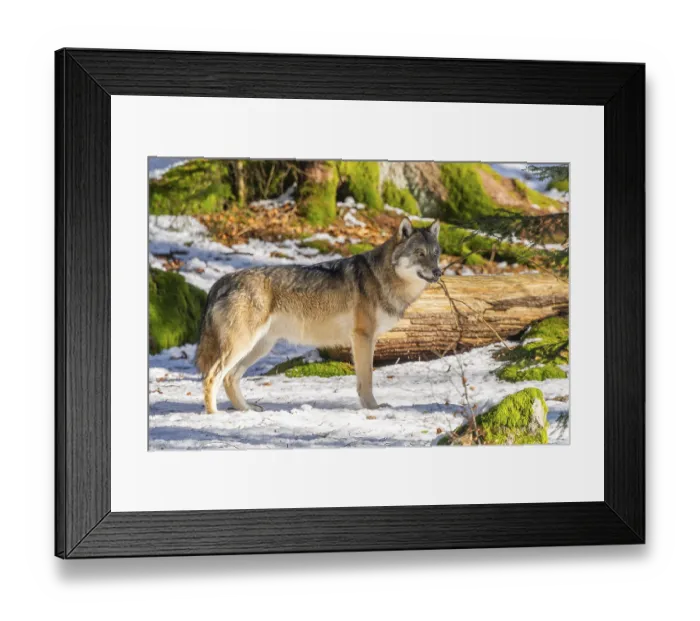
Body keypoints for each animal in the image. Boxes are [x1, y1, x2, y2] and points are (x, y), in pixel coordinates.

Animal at [195, 218, 441, 413]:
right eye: (420, 254)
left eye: (436, 254)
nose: (439, 272)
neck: (382, 277)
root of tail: (223, 280)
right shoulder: (362, 337)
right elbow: (367, 379)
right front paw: (373, 408)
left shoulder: (365, 340)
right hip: (242, 345)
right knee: (211, 377)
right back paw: (214, 415)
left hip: (259, 348)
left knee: (229, 378)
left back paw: (246, 410)